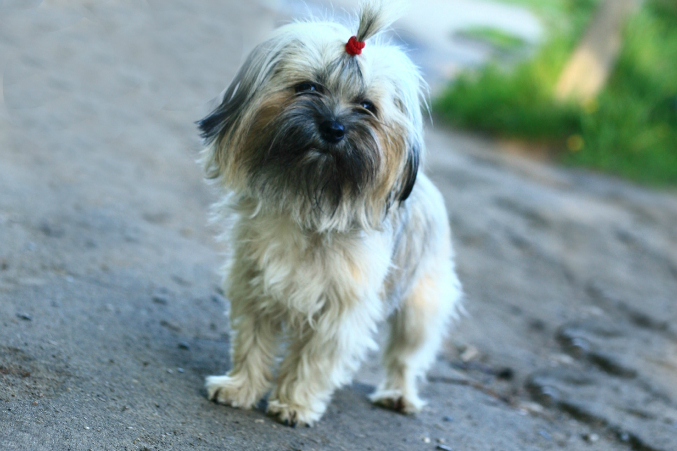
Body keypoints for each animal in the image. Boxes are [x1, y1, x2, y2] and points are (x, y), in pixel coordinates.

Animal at [199, 0, 462, 427]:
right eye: (308, 87)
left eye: (367, 107)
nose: (333, 128)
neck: (311, 196)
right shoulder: (253, 283)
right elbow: (252, 341)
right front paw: (241, 387)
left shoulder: (340, 310)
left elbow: (314, 360)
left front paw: (295, 403)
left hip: (421, 305)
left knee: (407, 356)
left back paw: (398, 394)